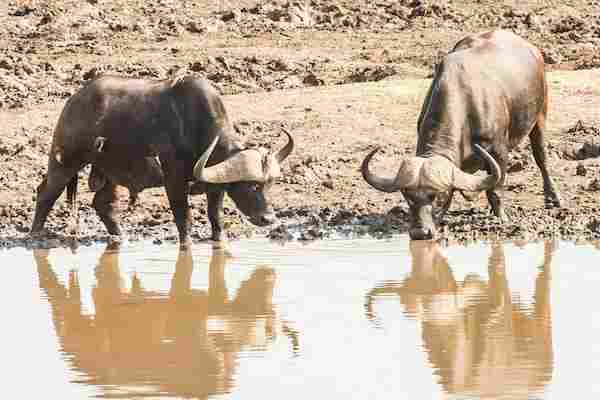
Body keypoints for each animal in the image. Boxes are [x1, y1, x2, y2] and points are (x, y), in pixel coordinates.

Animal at [31, 74, 294, 244]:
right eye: (252, 185)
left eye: (268, 186)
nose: (268, 218)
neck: (195, 126)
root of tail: (73, 101)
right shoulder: (174, 181)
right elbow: (183, 219)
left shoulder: (216, 187)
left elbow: (215, 217)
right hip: (65, 161)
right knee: (45, 192)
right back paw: (35, 235)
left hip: (109, 172)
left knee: (103, 204)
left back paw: (120, 237)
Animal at [360, 31, 564, 239]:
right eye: (408, 196)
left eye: (438, 196)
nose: (419, 232)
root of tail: (533, 49)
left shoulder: (499, 151)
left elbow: (495, 190)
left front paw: (502, 217)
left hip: (540, 115)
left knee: (541, 157)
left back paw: (553, 198)